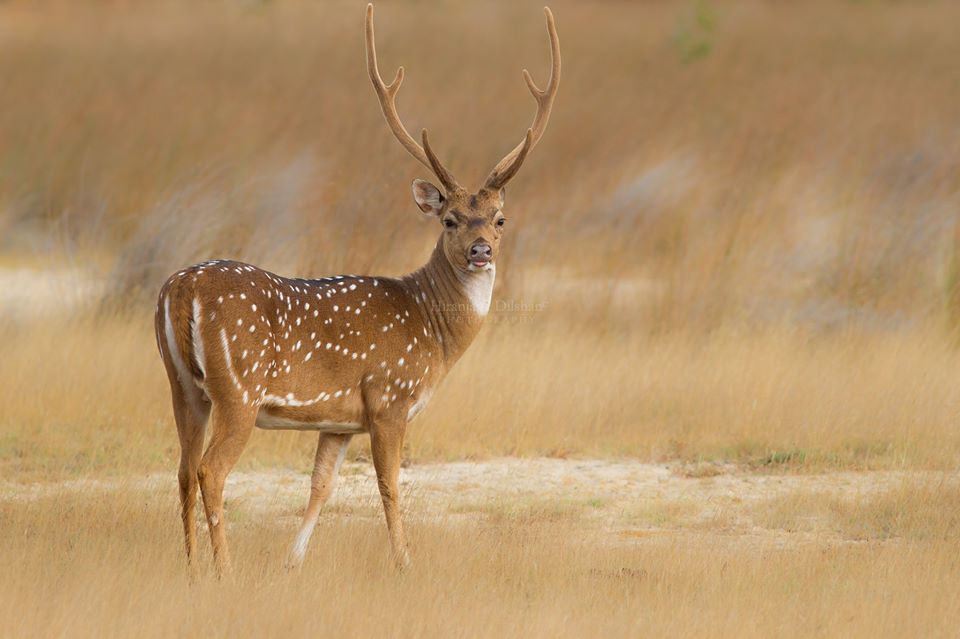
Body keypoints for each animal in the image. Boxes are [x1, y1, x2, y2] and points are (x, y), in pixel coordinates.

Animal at [154, 3, 560, 574]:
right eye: (451, 220)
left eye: (500, 219)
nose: (481, 250)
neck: (432, 333)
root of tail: (180, 288)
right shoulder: (389, 396)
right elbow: (389, 484)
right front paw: (405, 563)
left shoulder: (341, 419)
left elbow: (320, 486)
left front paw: (292, 562)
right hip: (239, 389)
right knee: (211, 470)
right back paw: (224, 571)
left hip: (183, 386)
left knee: (183, 468)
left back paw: (190, 569)